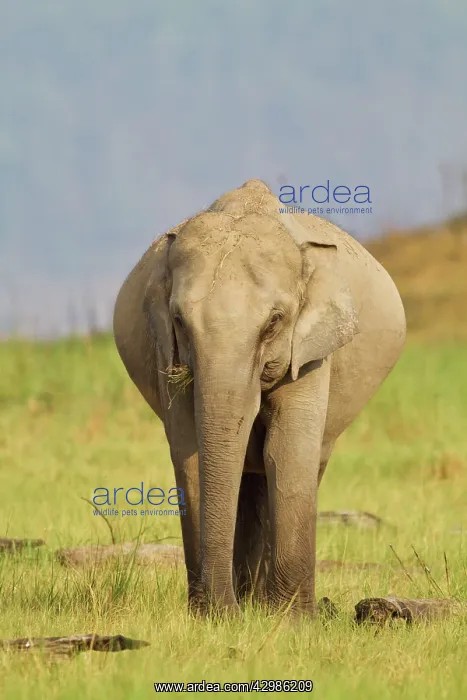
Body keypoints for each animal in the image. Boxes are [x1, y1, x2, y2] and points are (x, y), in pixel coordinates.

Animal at [113, 179, 406, 616]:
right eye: (179, 320)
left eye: (274, 322)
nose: (223, 611)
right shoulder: (167, 352)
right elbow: (191, 453)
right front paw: (211, 616)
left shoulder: (311, 353)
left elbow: (285, 453)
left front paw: (290, 621)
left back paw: (262, 604)